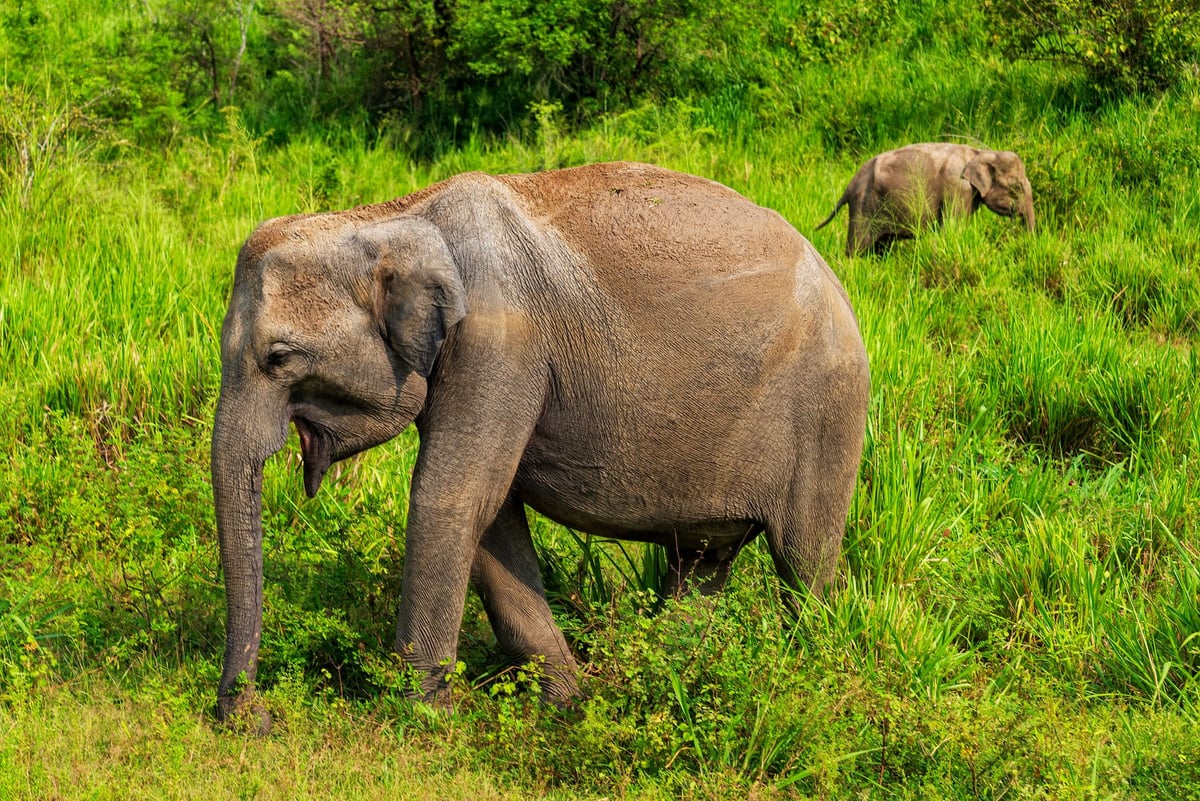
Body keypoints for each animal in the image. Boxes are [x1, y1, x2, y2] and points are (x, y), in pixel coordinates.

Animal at [211, 161, 870, 727]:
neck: (393, 214)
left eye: (278, 357)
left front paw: (421, 718)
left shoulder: (500, 342)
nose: (251, 718)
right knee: (702, 564)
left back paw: (810, 677)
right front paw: (568, 707)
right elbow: (490, 518)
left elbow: (450, 499)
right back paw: (677, 677)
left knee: (804, 563)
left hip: (829, 412)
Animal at [815, 142, 1035, 256]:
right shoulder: (957, 188)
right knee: (858, 247)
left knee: (881, 246)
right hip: (863, 207)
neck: (979, 153)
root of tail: (851, 183)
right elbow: (953, 228)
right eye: (1016, 187)